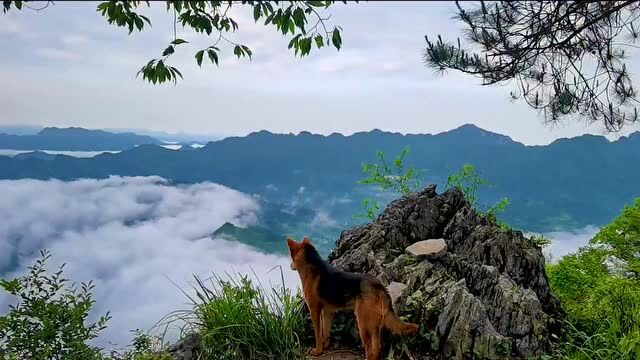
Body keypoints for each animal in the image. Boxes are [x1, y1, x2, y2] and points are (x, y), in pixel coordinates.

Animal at [286, 238, 418, 358]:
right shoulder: (327, 311)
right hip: (374, 324)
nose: (290, 266)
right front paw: (326, 347)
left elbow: (318, 334)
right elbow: (326, 332)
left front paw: (318, 351)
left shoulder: (314, 311)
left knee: (370, 349)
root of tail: (378, 286)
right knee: (377, 348)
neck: (312, 264)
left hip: (363, 323)